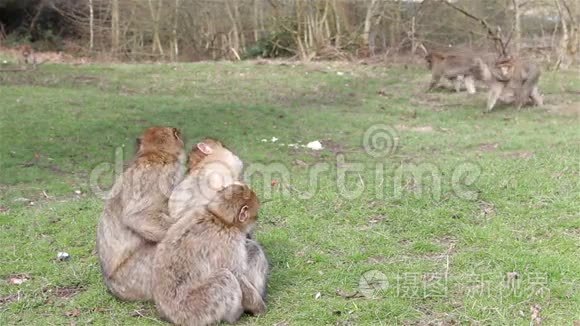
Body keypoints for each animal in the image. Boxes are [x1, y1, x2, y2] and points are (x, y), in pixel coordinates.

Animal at [152, 182, 266, 324]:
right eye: (255, 217)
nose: (251, 229)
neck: (219, 218)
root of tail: (169, 315)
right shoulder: (229, 241)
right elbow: (236, 274)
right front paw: (259, 307)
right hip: (196, 309)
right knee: (225, 276)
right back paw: (234, 316)